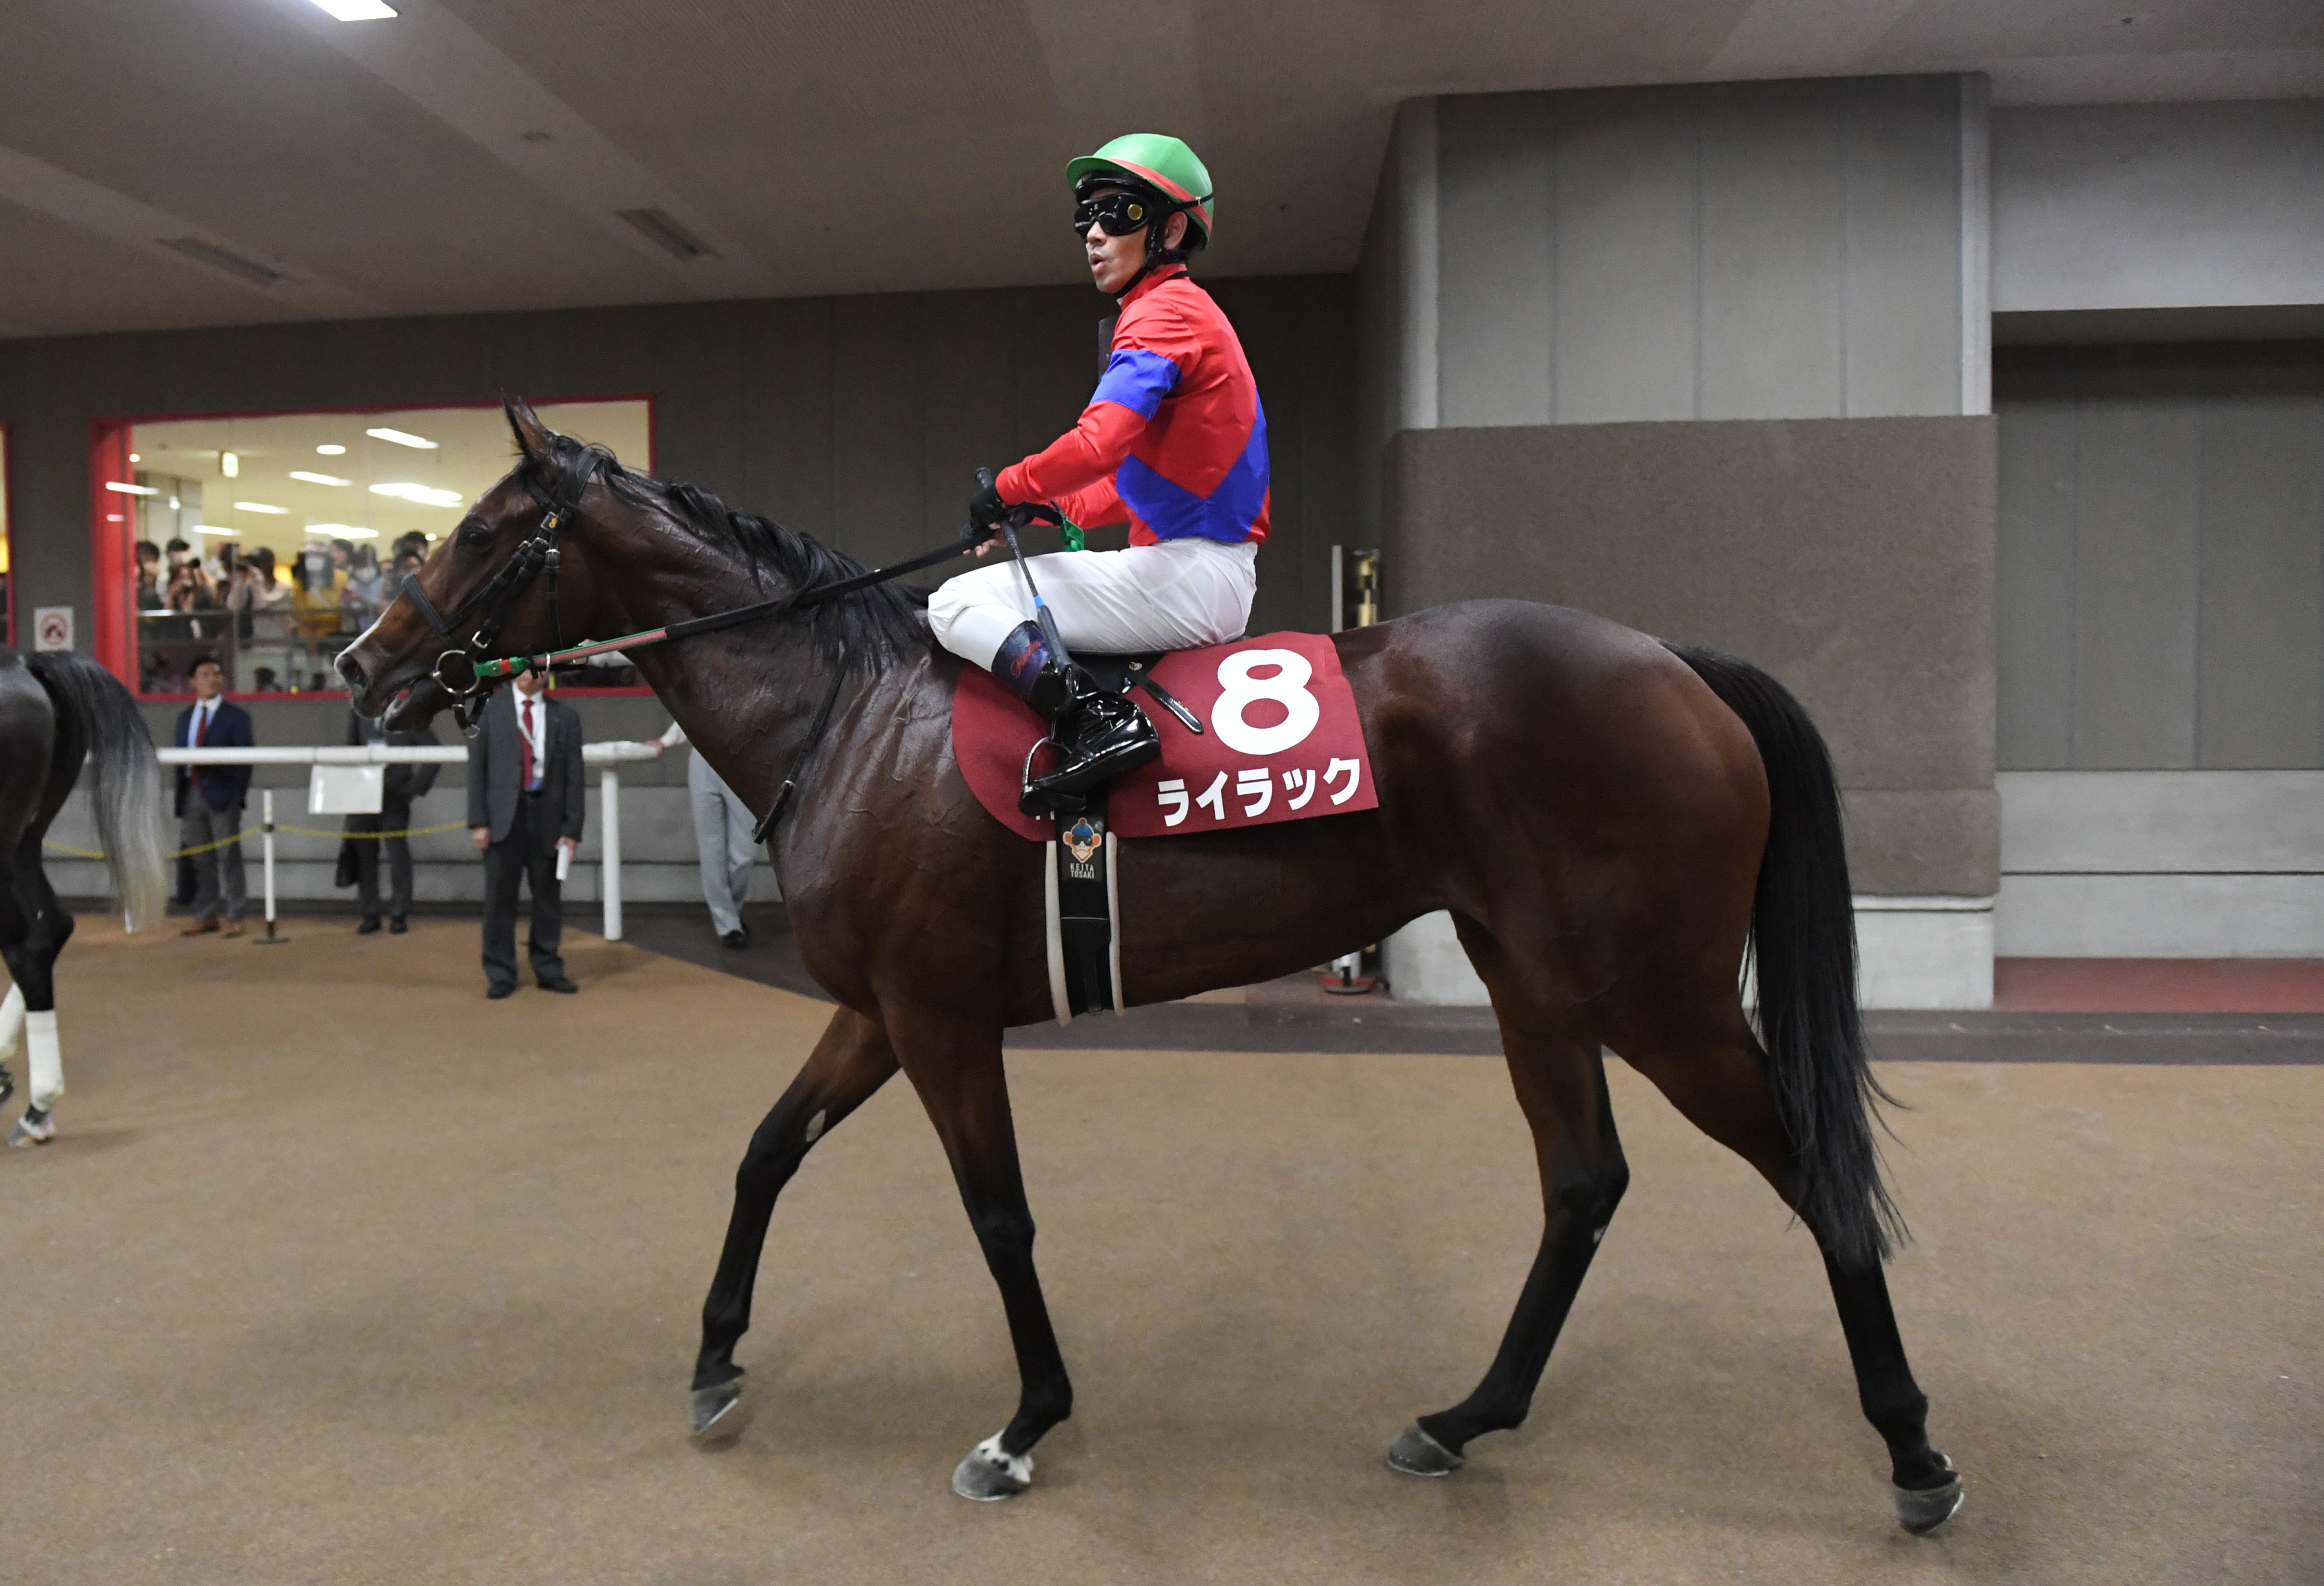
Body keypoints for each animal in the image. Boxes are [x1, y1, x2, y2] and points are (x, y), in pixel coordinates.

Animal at [339, 402, 1961, 1525]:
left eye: (476, 534)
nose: (363, 668)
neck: (846, 713)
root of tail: (1677, 664)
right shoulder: (875, 1010)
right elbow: (763, 1152)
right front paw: (717, 1359)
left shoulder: (936, 1019)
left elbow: (997, 1214)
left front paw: (1022, 1424)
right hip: (1533, 979)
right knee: (1581, 1184)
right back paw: (1457, 1416)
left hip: (1655, 993)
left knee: (1803, 1162)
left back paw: (1912, 1447)